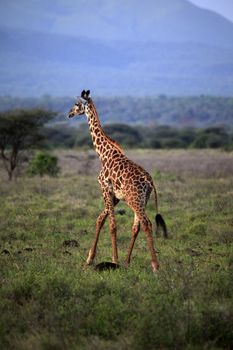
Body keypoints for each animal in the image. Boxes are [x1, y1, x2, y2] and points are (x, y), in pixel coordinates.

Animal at [68, 89, 167, 272]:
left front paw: (114, 260)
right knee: (136, 226)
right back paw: (128, 261)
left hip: (134, 199)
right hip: (142, 199)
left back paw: (155, 265)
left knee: (147, 223)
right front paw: (90, 259)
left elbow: (112, 225)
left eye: (77, 104)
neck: (103, 154)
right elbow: (100, 219)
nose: (69, 113)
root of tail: (150, 182)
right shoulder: (115, 196)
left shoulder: (105, 189)